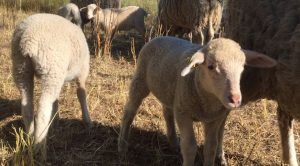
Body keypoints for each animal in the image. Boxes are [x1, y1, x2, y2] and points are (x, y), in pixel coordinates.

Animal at [10, 13, 92, 161]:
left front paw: (56, 118)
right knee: (43, 107)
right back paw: (40, 147)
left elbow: (57, 99)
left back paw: (30, 137)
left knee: (27, 105)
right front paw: (87, 119)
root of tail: (28, 40)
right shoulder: (82, 72)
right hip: (52, 68)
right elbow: (81, 94)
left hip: (21, 68)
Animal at [117, 35, 276, 165]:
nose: (235, 99)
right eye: (210, 66)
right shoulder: (183, 113)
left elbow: (211, 147)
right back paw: (122, 145)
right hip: (140, 80)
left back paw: (173, 142)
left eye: (242, 66)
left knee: (167, 113)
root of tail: (160, 36)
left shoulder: (214, 118)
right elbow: (189, 147)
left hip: (170, 92)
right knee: (129, 112)